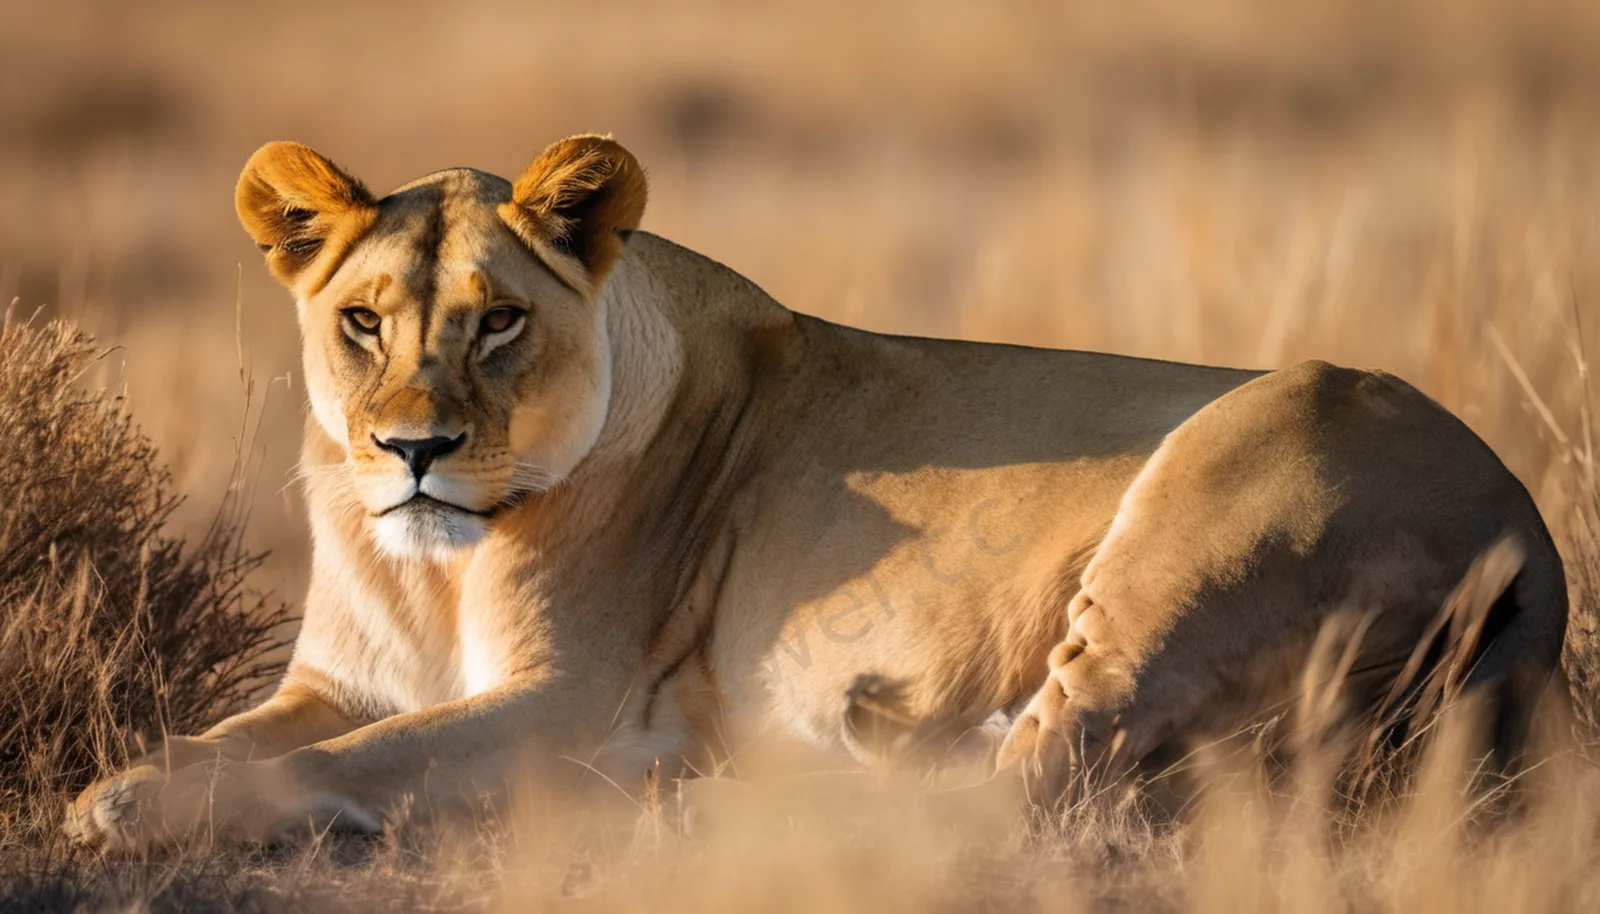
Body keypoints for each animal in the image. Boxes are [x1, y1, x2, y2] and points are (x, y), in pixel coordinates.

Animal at [66, 134, 1566, 850]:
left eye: (498, 322)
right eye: (363, 321)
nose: (413, 448)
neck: (429, 563)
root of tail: (1535, 543)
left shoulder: (568, 699)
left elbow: (355, 759)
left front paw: (127, 807)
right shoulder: (339, 676)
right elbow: (236, 735)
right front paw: (123, 782)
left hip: (1228, 489)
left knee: (1038, 788)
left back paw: (715, 801)